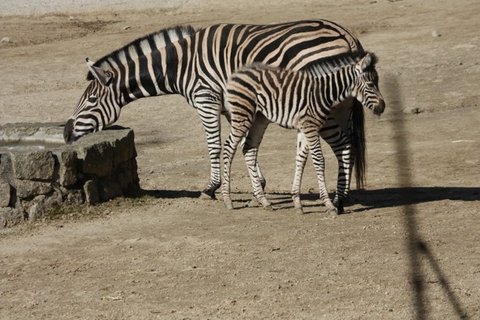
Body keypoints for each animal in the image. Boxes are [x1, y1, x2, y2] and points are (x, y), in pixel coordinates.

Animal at [64, 20, 368, 206]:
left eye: (91, 99)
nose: (65, 133)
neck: (180, 65)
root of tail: (346, 33)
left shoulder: (206, 98)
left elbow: (214, 145)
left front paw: (212, 187)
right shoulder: (233, 104)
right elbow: (246, 143)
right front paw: (259, 183)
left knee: (342, 143)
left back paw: (340, 198)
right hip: (340, 105)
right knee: (349, 143)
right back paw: (342, 195)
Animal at [223, 52, 384, 214]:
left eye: (377, 82)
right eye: (370, 84)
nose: (382, 107)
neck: (323, 92)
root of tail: (239, 72)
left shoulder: (304, 128)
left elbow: (301, 159)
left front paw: (297, 202)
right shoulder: (310, 127)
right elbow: (319, 160)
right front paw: (328, 204)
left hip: (259, 119)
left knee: (249, 149)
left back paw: (264, 200)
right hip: (242, 115)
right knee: (229, 147)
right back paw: (228, 199)